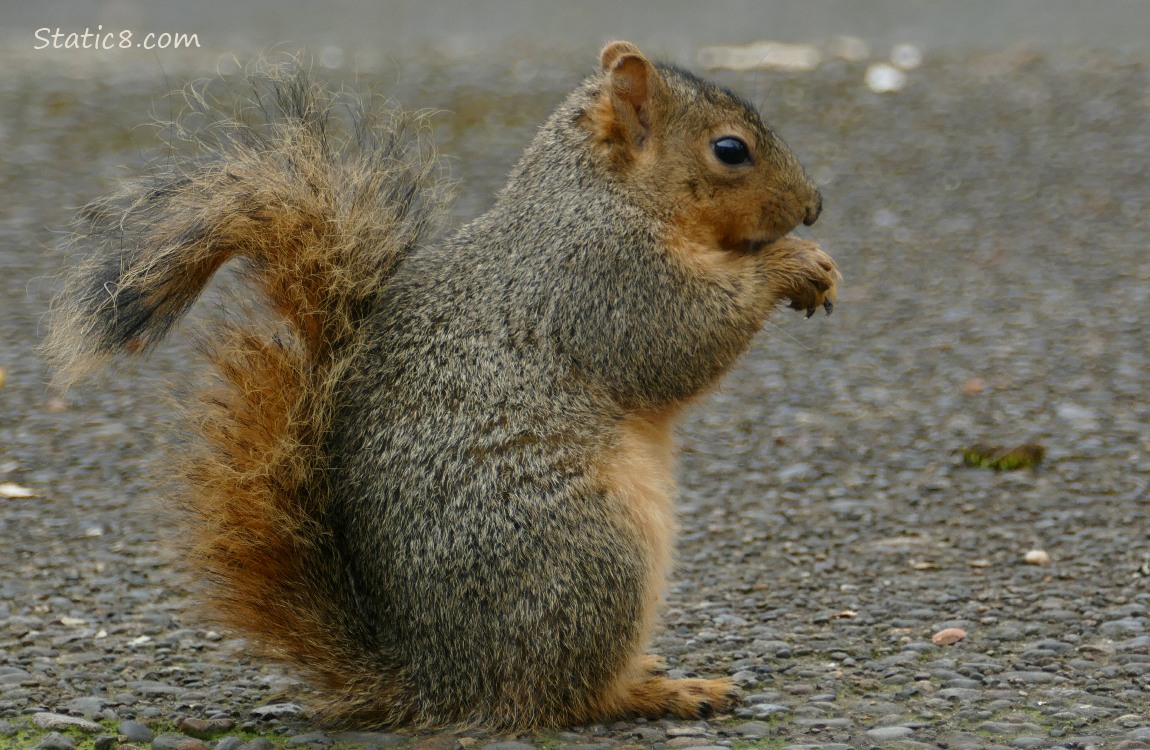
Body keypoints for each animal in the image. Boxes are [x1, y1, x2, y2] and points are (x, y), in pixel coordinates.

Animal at [43, 41, 839, 730]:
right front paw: (792, 265)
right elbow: (678, 340)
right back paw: (666, 691)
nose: (814, 206)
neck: (602, 192)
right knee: (565, 696)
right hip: (589, 554)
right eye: (730, 150)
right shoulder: (603, 276)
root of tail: (433, 680)